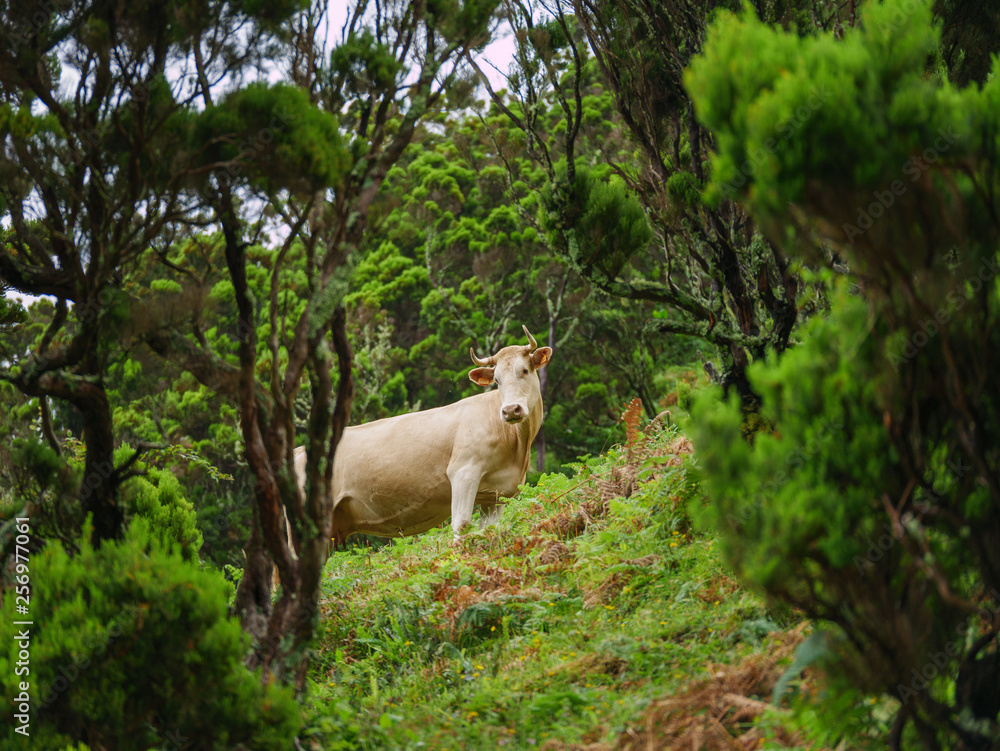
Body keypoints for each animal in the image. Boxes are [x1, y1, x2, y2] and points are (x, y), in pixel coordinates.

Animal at [293, 326, 552, 547]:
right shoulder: (463, 472)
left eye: (524, 370)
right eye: (496, 380)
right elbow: (462, 526)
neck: (517, 445)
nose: (510, 410)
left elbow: (487, 530)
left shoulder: (496, 495)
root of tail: (297, 451)